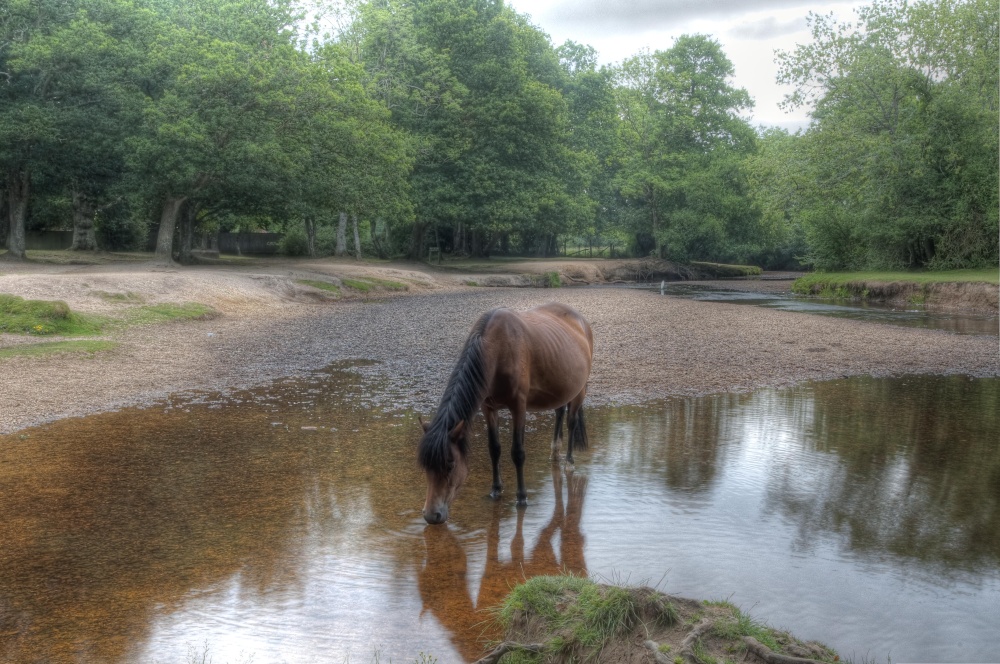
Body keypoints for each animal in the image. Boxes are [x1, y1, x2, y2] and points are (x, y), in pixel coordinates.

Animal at [417, 302, 594, 525]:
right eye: (425, 466)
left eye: (450, 465)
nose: (432, 516)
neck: (496, 349)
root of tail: (581, 321)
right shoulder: (488, 408)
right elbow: (494, 449)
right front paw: (495, 489)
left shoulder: (518, 406)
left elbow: (517, 452)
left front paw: (522, 496)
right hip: (560, 387)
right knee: (560, 411)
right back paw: (554, 453)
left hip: (580, 390)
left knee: (571, 422)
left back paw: (569, 461)